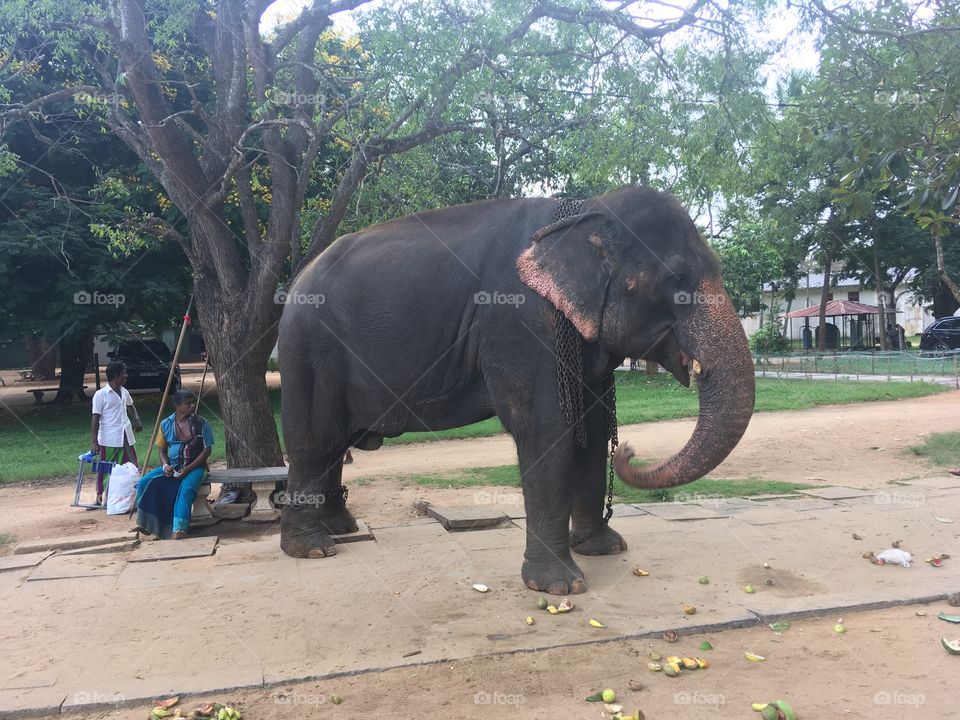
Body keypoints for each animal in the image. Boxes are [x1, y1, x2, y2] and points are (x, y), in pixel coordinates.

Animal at [277, 186, 755, 594]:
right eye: (677, 280)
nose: (630, 451)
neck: (582, 211)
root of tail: (299, 278)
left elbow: (591, 431)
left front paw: (603, 549)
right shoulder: (521, 325)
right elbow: (547, 431)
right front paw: (560, 587)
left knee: (332, 446)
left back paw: (341, 528)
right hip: (308, 352)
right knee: (313, 442)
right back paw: (313, 549)